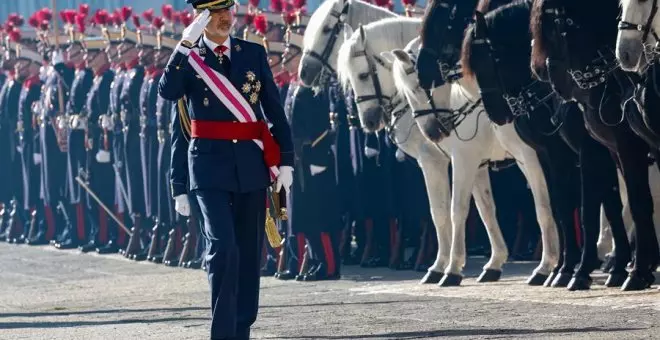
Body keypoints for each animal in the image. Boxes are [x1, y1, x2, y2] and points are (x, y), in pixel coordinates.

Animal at [336, 17, 510, 284]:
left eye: (363, 75)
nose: (368, 121)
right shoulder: (474, 163)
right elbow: (482, 210)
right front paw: (492, 262)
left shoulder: (450, 160)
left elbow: (450, 211)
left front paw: (449, 267)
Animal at [462, 1, 632, 290]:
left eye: (493, 58)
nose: (497, 114)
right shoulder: (552, 155)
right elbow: (561, 206)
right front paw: (562, 268)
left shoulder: (583, 152)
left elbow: (583, 207)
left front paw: (574, 269)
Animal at [532, 0, 660, 290]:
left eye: (557, 23)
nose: (546, 73)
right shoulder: (610, 151)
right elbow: (613, 204)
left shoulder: (613, 149)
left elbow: (603, 205)